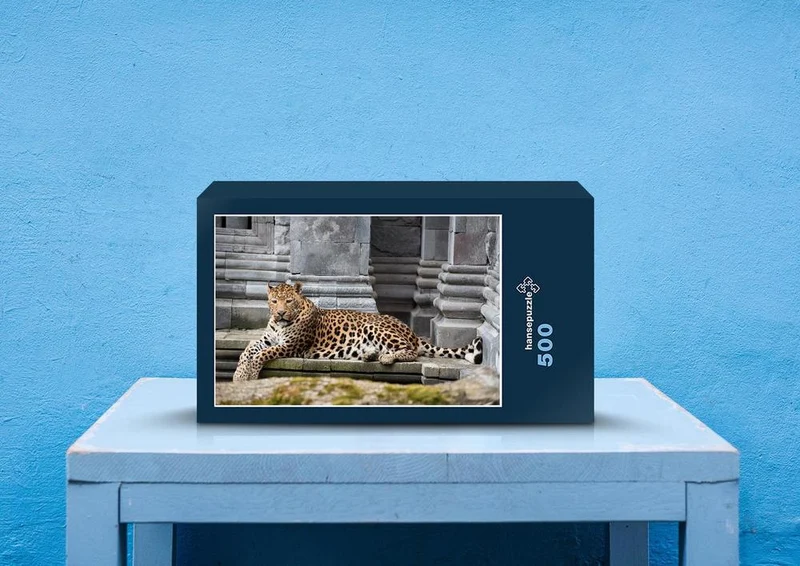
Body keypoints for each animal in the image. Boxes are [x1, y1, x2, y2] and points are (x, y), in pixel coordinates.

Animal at [231, 282, 483, 382]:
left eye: (289, 301)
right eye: (274, 301)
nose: (280, 313)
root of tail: (409, 330)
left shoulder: (292, 346)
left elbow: (261, 355)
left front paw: (249, 375)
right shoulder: (267, 339)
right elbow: (248, 350)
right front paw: (238, 374)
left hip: (375, 326)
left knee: (411, 350)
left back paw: (386, 357)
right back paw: (369, 354)